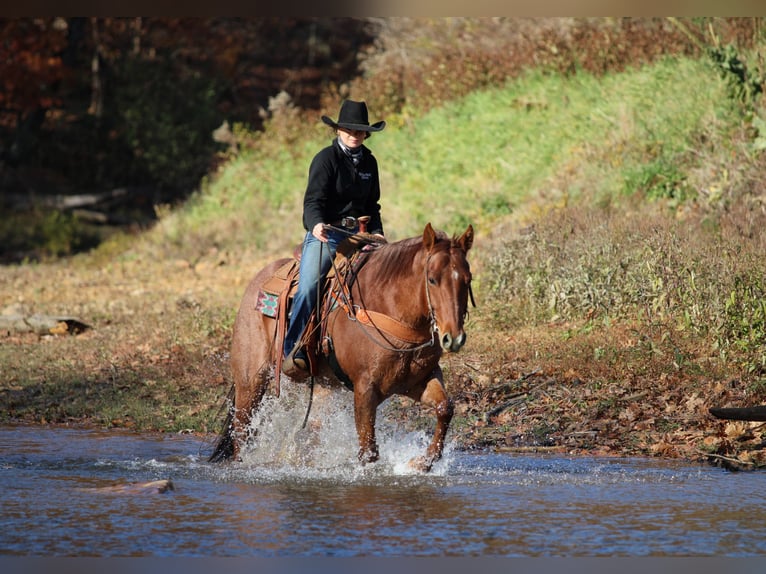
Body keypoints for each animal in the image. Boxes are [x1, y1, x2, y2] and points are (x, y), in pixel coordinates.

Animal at [208, 222, 474, 472]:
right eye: (432, 279)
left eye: (467, 279)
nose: (453, 338)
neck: (393, 310)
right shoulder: (365, 388)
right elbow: (368, 451)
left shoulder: (417, 381)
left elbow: (445, 408)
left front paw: (420, 463)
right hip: (251, 380)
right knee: (241, 432)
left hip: (323, 387)